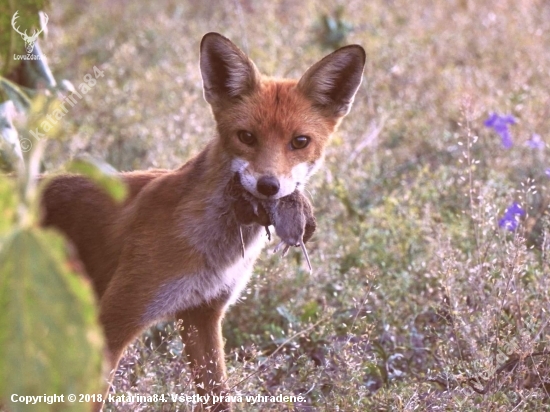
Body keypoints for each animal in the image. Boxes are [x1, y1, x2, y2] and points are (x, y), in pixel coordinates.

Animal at [40, 33, 366, 412]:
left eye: (300, 142)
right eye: (246, 137)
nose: (268, 186)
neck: (213, 253)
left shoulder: (202, 315)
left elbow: (217, 397)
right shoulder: (113, 321)